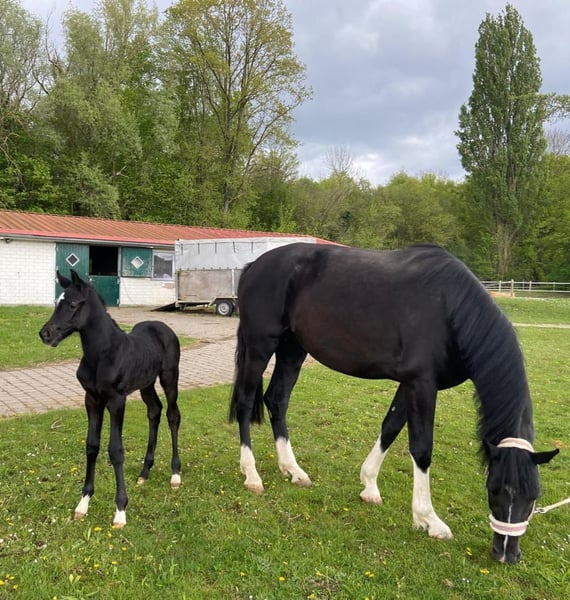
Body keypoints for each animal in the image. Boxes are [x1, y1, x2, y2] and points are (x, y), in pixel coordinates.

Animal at [39, 270, 182, 528]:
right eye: (57, 302)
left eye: (72, 304)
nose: (45, 334)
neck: (103, 353)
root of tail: (163, 327)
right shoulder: (92, 400)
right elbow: (91, 446)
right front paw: (83, 504)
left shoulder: (116, 401)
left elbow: (115, 450)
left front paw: (120, 510)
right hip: (146, 384)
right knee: (154, 411)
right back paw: (144, 472)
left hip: (169, 377)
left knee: (172, 415)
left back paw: (175, 474)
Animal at [229, 242, 558, 563]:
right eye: (494, 490)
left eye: (534, 497)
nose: (506, 554)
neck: (450, 308)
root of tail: (253, 267)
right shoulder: (421, 384)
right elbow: (421, 449)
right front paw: (429, 519)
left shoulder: (411, 384)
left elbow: (390, 427)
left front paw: (369, 486)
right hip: (260, 346)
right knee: (245, 403)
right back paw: (252, 476)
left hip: (292, 348)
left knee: (277, 401)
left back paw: (293, 470)